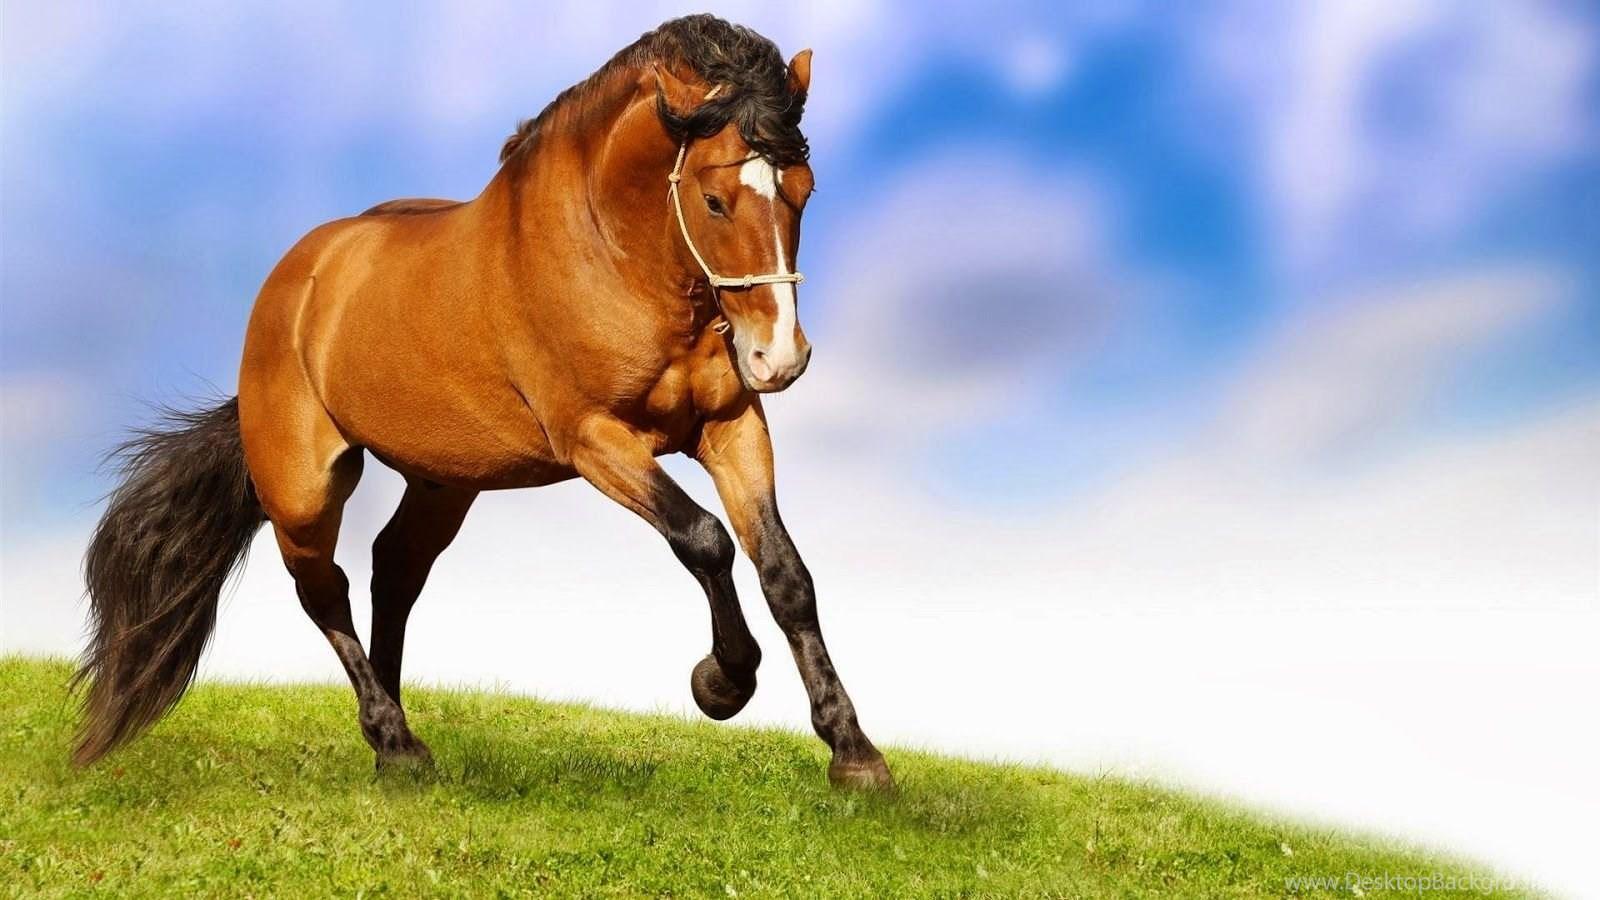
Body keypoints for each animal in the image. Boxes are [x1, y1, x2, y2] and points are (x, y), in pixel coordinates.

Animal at [74, 14, 893, 791]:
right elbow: (704, 539)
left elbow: (786, 574)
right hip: (304, 488)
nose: (779, 358)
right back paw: (397, 744)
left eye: (804, 191)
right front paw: (721, 683)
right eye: (716, 200)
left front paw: (855, 756)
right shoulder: (595, 439)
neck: (614, 256)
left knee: (394, 572)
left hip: (443, 481)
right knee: (324, 590)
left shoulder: (730, 427)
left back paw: (392, 743)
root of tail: (295, 282)